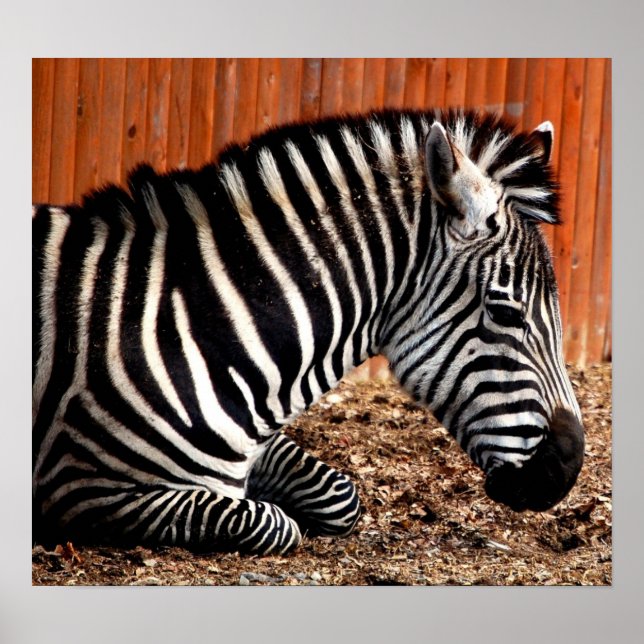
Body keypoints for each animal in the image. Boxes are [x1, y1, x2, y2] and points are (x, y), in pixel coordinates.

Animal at [32, 108, 585, 555]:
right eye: (506, 313)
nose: (568, 469)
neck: (205, 325)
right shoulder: (83, 485)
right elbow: (269, 523)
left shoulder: (259, 442)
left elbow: (341, 495)